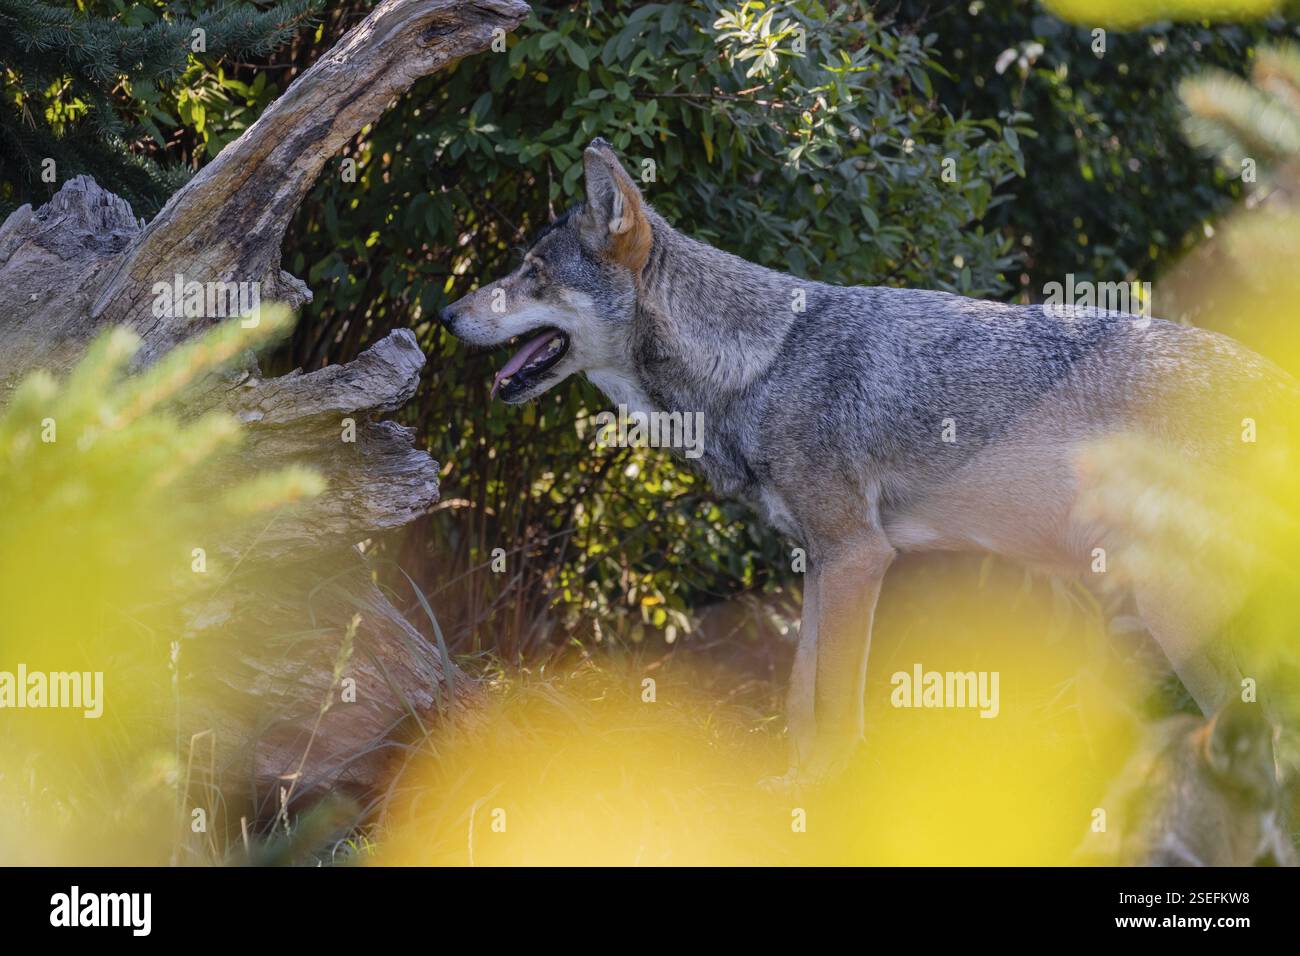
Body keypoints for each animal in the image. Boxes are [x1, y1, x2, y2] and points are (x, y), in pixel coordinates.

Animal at [443, 137, 1297, 784]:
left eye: (531, 272)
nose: (447, 312)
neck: (761, 363)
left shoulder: (858, 557)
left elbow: (834, 709)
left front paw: (821, 798)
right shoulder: (821, 562)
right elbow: (799, 701)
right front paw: (788, 791)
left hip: (1179, 613)